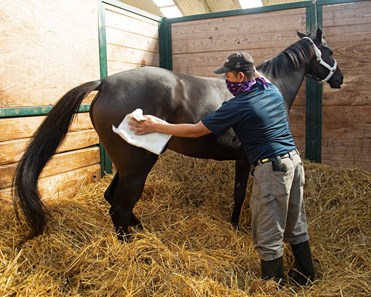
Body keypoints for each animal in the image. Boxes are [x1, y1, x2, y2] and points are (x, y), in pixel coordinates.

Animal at [13, 28, 346, 243]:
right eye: (329, 52)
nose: (340, 79)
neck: (263, 86)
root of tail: (105, 82)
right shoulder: (244, 159)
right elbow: (239, 193)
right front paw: (235, 224)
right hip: (137, 167)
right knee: (119, 207)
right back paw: (131, 244)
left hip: (131, 165)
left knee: (113, 200)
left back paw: (140, 229)